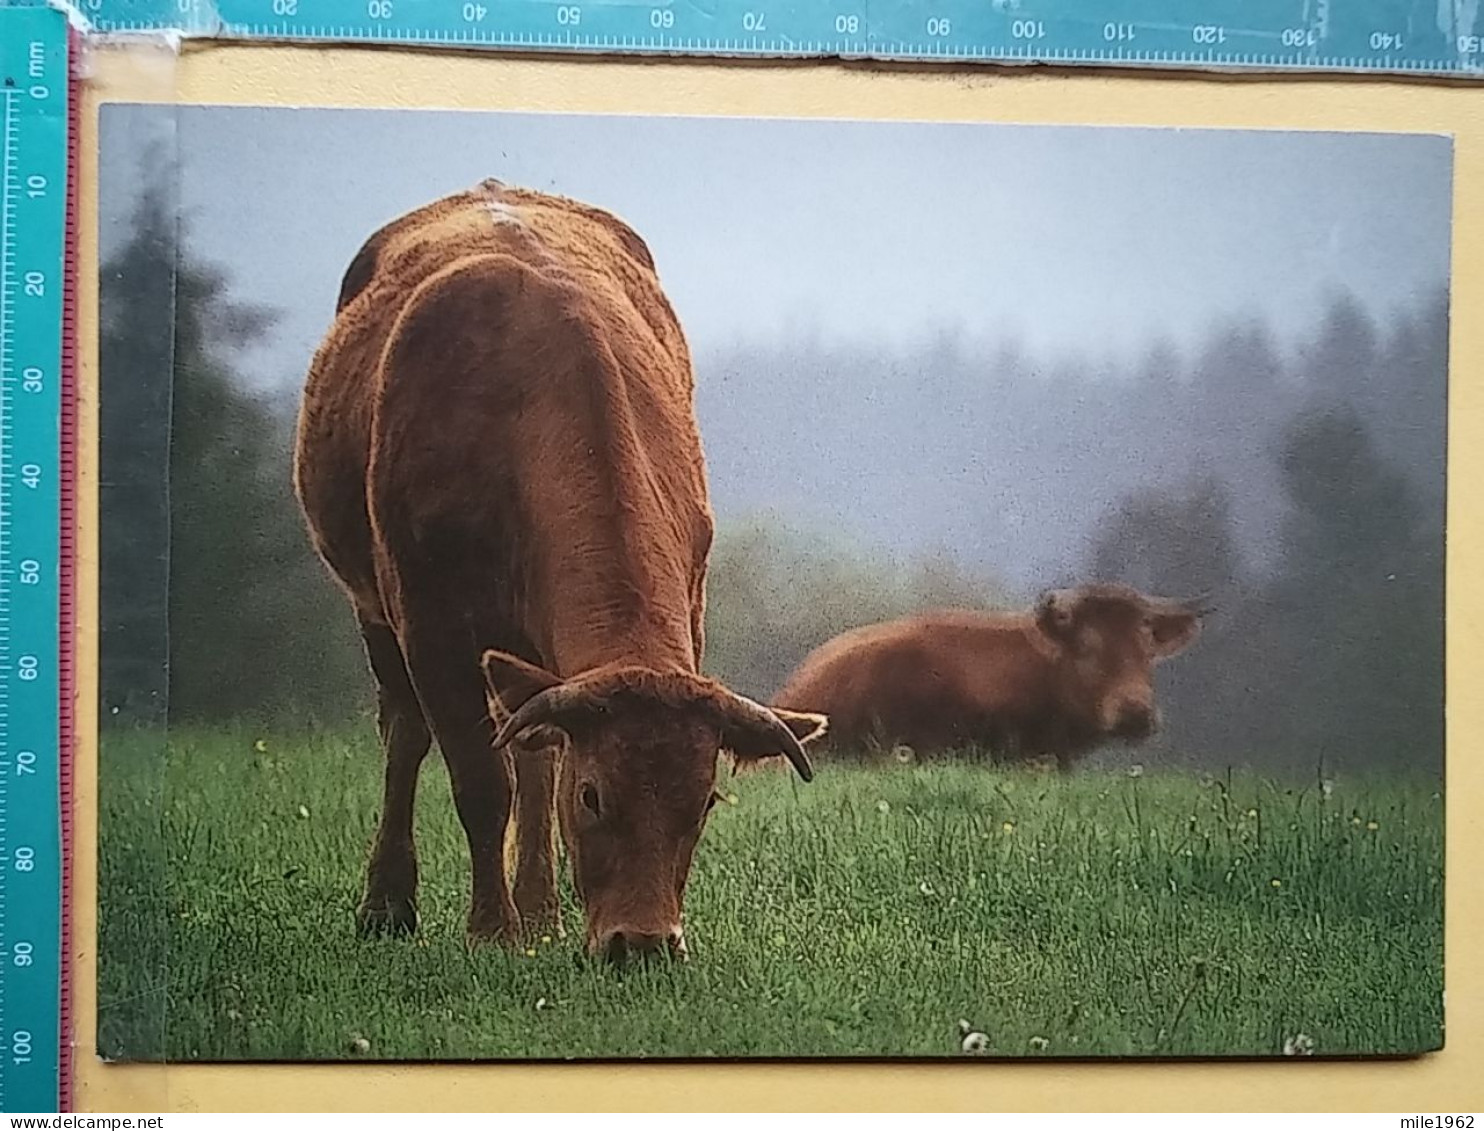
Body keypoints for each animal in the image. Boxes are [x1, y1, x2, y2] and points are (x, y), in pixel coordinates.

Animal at [289, 180, 825, 955]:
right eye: (593, 793)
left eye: (703, 801)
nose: (644, 943)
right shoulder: (428, 621)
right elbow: (481, 778)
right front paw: (491, 930)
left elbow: (529, 759)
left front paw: (525, 917)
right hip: (373, 609)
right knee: (406, 734)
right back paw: (389, 903)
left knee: (534, 747)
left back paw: (540, 908)